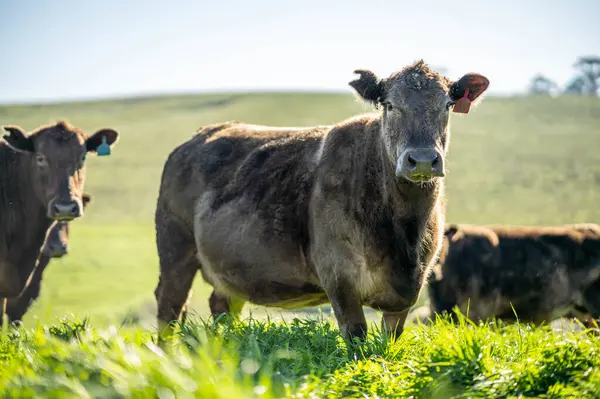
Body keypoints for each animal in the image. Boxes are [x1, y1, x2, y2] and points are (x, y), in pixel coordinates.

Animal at [154, 60, 488, 344]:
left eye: (447, 105)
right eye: (390, 105)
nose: (421, 160)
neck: (404, 231)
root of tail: (200, 136)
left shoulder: (407, 292)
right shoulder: (339, 278)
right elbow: (356, 337)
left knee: (221, 304)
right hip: (175, 250)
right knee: (169, 307)